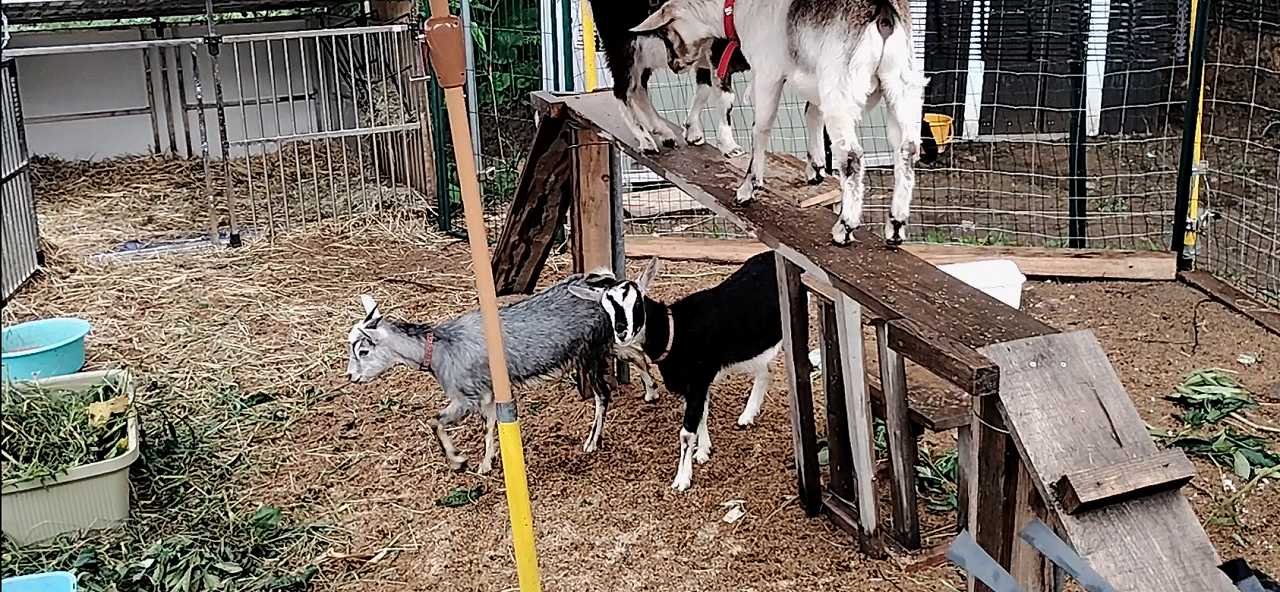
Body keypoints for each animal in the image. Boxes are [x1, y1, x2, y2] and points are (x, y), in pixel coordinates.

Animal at [345, 273, 627, 474]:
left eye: (363, 351)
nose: (351, 376)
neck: (441, 350)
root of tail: (605, 286)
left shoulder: (467, 397)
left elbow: (438, 421)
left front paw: (462, 462)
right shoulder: (489, 392)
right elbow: (490, 422)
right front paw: (486, 461)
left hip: (590, 352)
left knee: (603, 395)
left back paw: (591, 442)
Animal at [572, 253, 781, 491]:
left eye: (637, 302)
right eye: (605, 309)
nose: (622, 332)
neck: (675, 331)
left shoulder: (698, 381)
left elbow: (686, 433)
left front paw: (682, 479)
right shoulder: (694, 386)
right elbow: (701, 415)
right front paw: (703, 451)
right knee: (767, 369)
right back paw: (747, 416)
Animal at [588, 0, 751, 156]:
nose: (673, 66)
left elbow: (704, 88)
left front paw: (693, 132)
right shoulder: (719, 52)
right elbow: (726, 98)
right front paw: (730, 147)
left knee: (638, 87)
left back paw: (664, 133)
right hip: (623, 45)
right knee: (622, 90)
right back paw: (646, 142)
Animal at [632, 0, 929, 246]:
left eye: (666, 34)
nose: (674, 65)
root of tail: (883, 13)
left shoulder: (768, 73)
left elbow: (761, 127)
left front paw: (748, 188)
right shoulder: (812, 78)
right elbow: (811, 112)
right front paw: (815, 169)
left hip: (841, 88)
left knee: (852, 156)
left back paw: (844, 228)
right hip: (903, 84)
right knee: (906, 148)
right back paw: (896, 226)